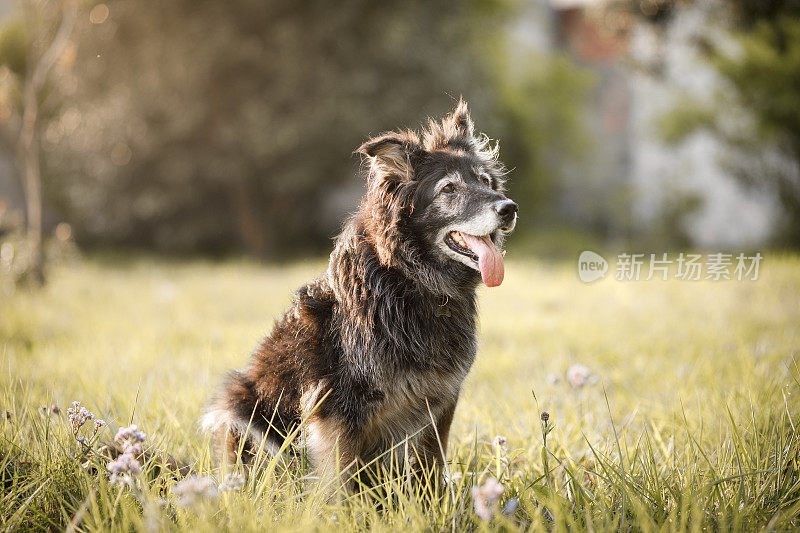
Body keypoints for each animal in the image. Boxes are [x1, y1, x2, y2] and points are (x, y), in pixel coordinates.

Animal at [202, 100, 520, 490]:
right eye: (448, 189)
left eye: (486, 182)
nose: (509, 208)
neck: (409, 281)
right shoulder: (336, 406)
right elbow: (339, 482)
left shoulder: (441, 399)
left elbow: (432, 465)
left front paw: (437, 501)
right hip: (238, 408)